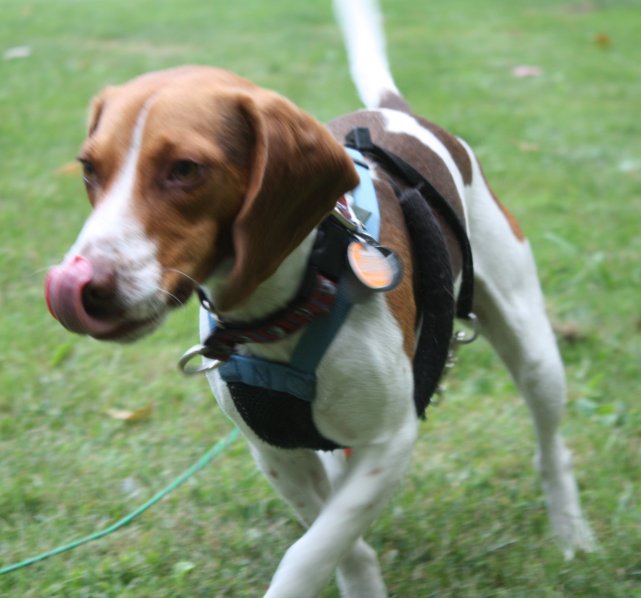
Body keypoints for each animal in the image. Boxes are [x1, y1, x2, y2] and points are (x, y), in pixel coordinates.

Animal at [44, 0, 595, 595]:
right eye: (89, 169)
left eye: (186, 170)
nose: (83, 286)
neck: (283, 309)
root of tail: (394, 113)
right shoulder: (276, 451)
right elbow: (335, 539)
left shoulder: (391, 441)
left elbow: (309, 553)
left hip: (533, 352)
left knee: (551, 447)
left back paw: (572, 532)